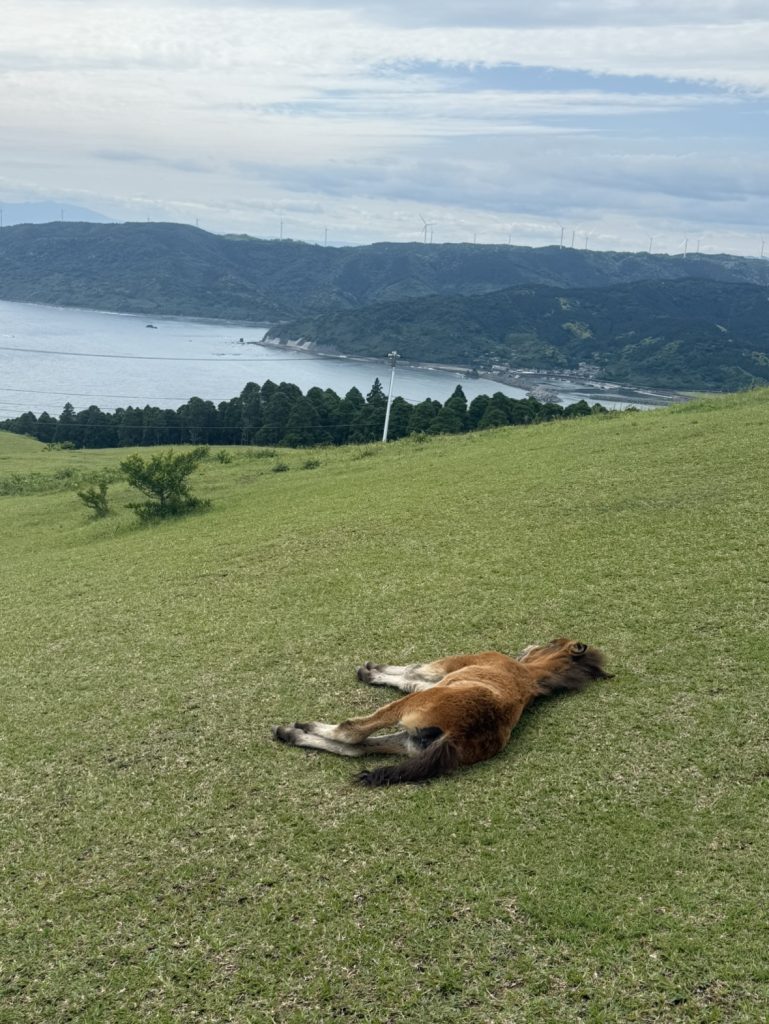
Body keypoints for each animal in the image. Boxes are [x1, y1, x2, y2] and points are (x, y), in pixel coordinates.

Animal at [272, 638, 612, 786]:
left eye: (554, 641)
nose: (528, 646)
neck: (527, 675)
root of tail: (461, 733)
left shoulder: (449, 669)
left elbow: (414, 670)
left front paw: (370, 671)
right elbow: (410, 678)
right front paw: (374, 671)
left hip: (409, 711)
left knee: (352, 734)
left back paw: (295, 728)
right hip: (410, 741)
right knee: (358, 748)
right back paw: (293, 733)